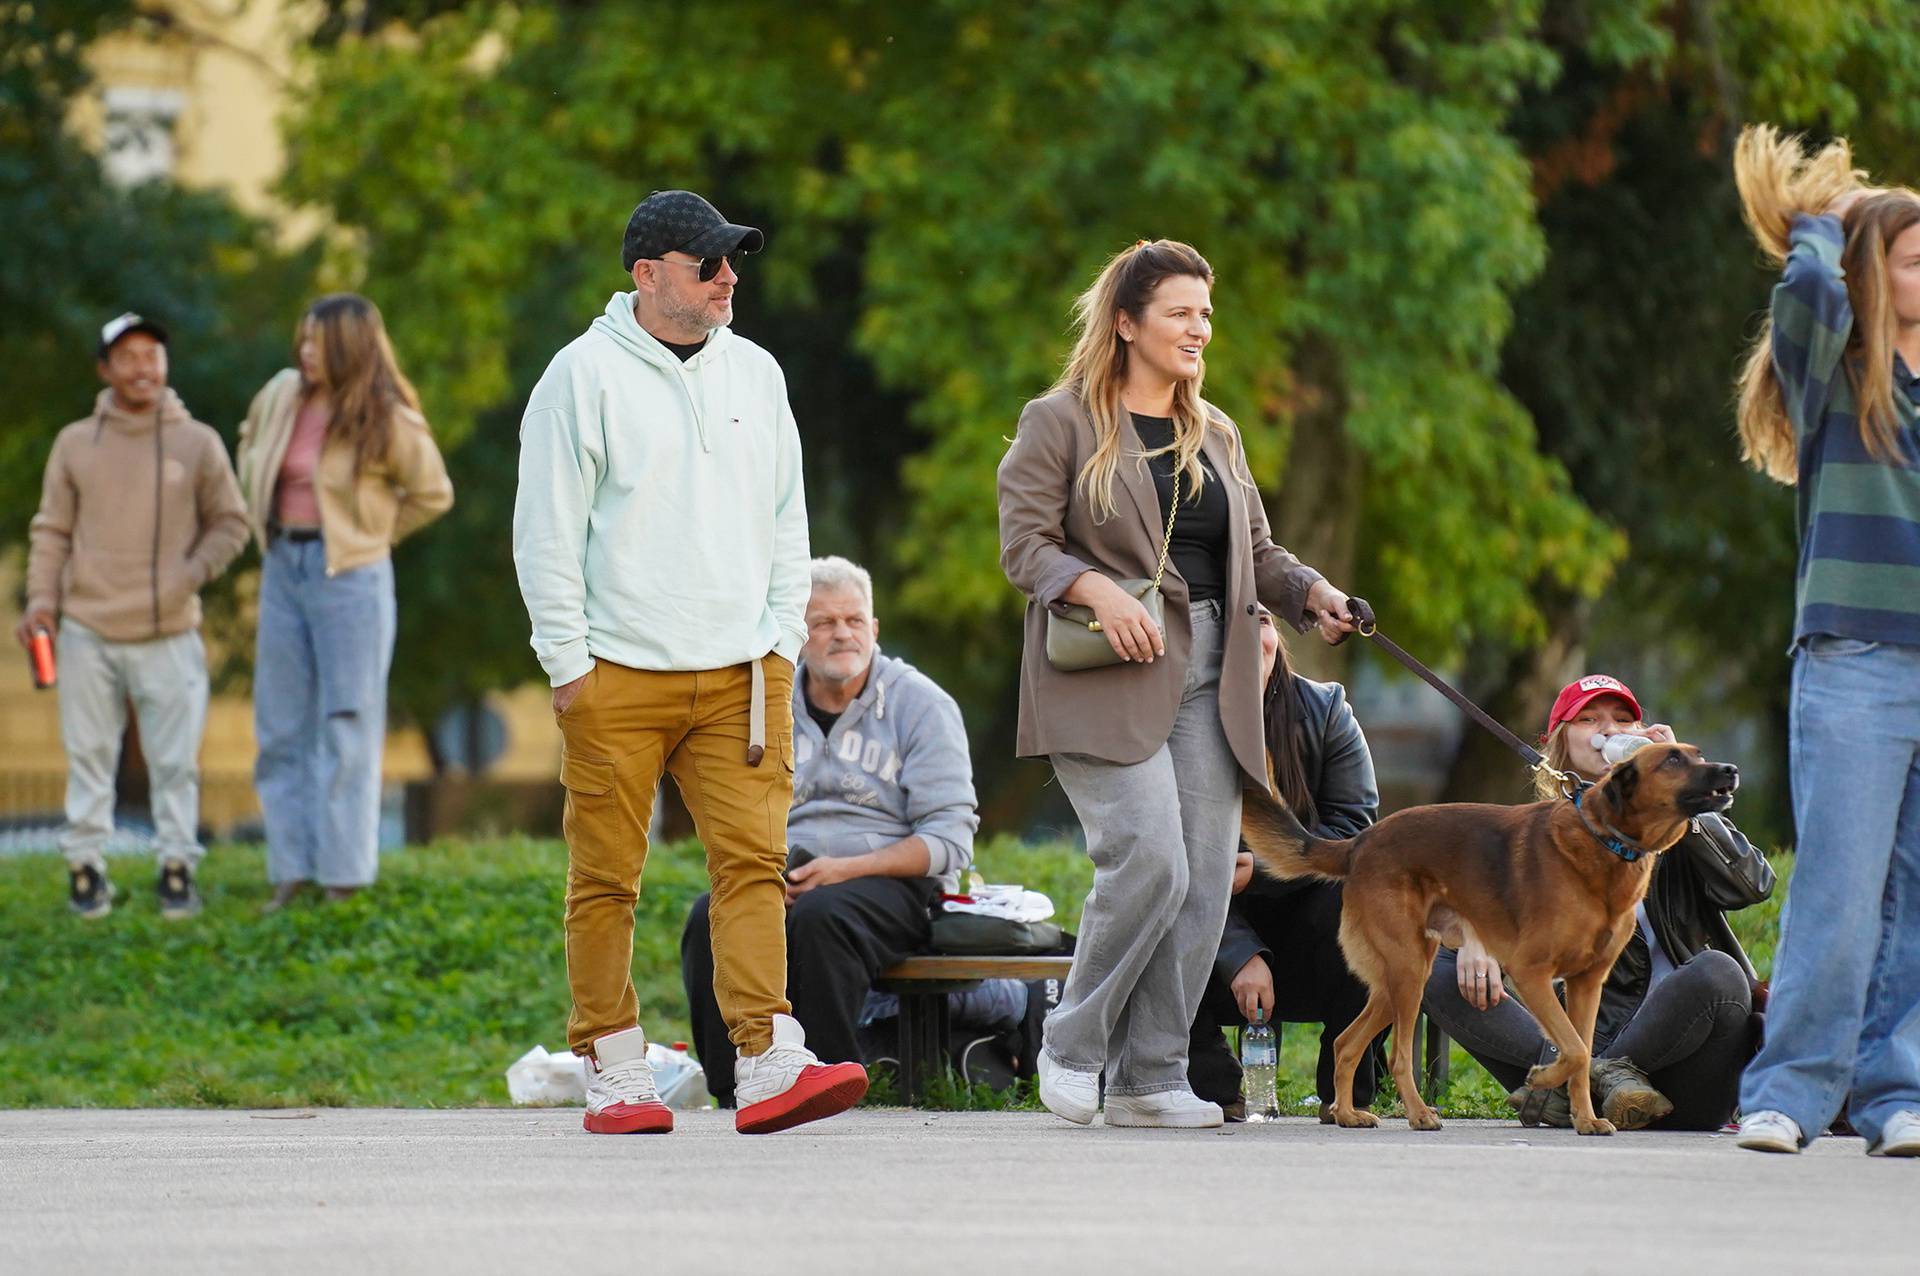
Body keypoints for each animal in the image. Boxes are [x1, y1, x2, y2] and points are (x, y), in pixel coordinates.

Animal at [1244, 740, 1743, 1128]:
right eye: (1673, 759)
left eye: (1697, 754)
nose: (1731, 769)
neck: (1604, 840)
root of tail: (1359, 843)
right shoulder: (1532, 973)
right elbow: (1575, 1050)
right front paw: (1541, 1079)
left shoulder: (1587, 983)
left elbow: (1583, 1051)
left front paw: (1585, 1119)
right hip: (1409, 974)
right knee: (1398, 1057)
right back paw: (1419, 1114)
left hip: (1395, 981)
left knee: (1347, 1044)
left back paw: (1347, 1114)